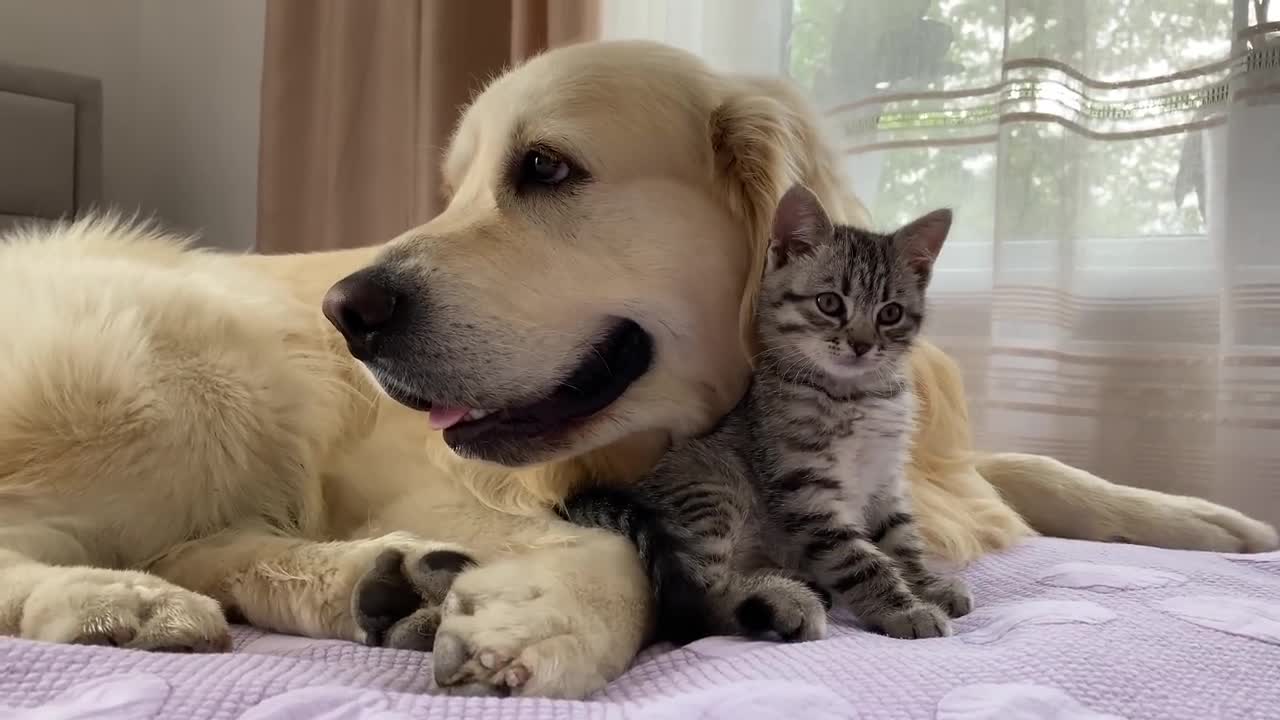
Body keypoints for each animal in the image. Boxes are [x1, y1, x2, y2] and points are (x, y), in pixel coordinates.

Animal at [560, 181, 967, 640]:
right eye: (830, 304)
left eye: (891, 313)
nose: (862, 344)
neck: (855, 395)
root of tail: (636, 491)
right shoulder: (805, 490)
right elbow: (860, 561)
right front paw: (905, 610)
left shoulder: (884, 479)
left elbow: (901, 539)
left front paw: (926, 584)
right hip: (713, 490)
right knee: (698, 602)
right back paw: (785, 603)